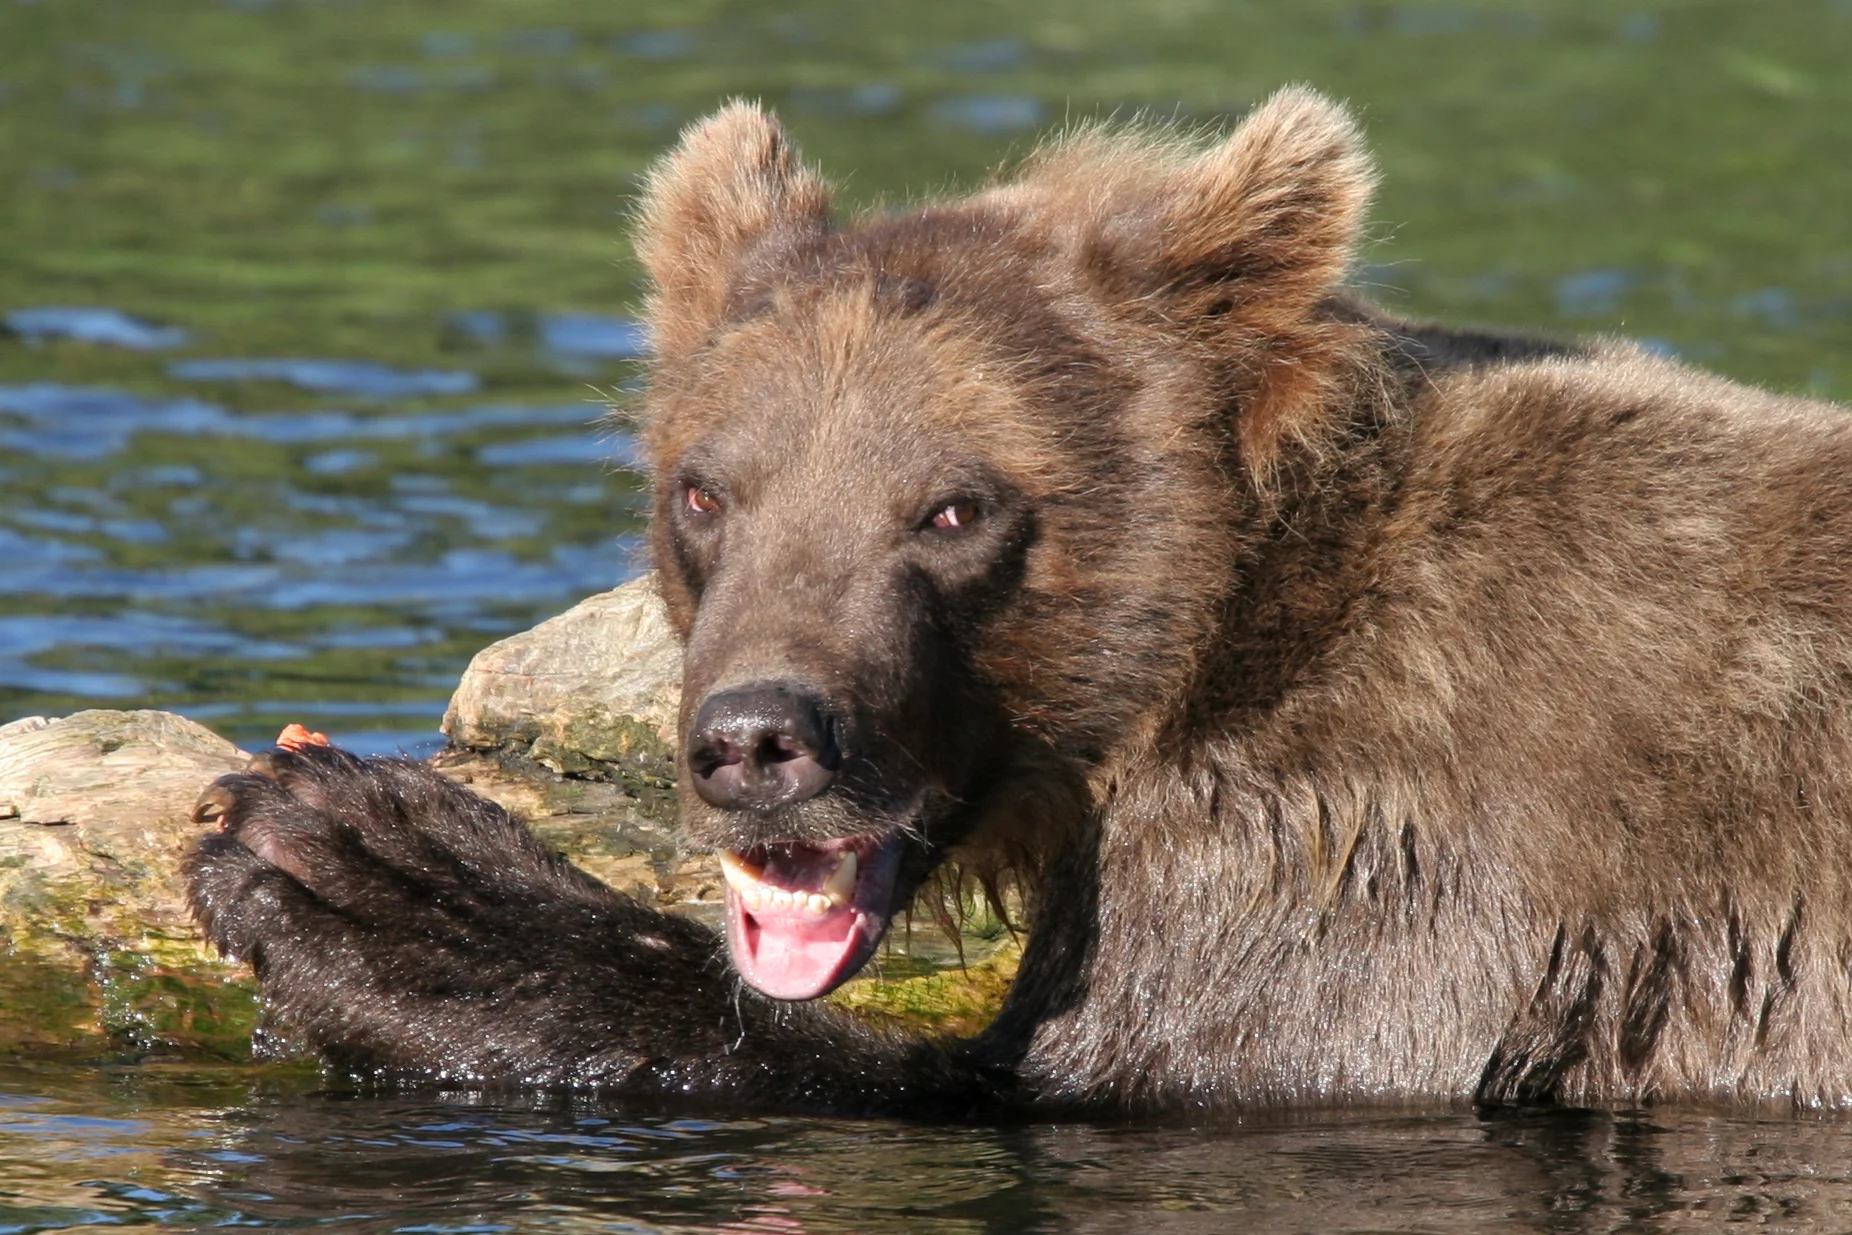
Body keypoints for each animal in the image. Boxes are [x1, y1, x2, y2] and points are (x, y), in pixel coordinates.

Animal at [186, 86, 1852, 1115]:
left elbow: (1062, 1071)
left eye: (951, 505)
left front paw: (362, 865)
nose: (755, 739)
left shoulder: (1393, 837)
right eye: (707, 491)